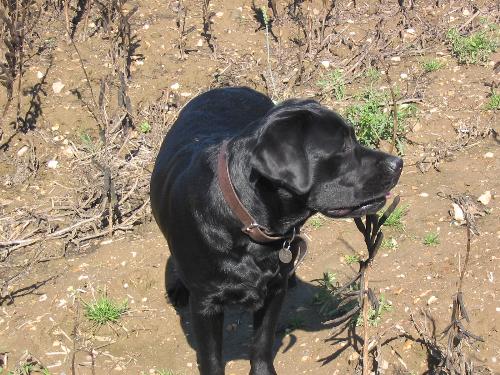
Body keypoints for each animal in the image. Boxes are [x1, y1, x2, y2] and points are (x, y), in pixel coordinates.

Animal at [150, 87, 404, 375]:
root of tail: (229, 87)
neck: (247, 222)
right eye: (343, 147)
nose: (398, 163)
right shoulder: (206, 304)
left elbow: (262, 341)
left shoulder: (273, 291)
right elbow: (211, 358)